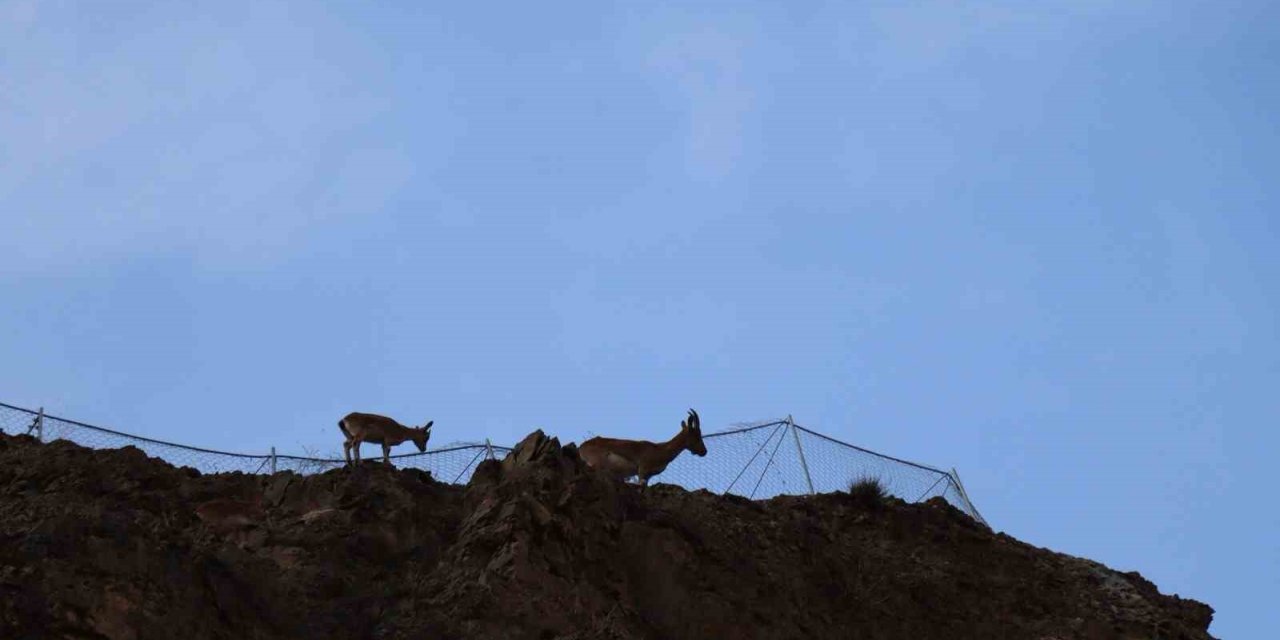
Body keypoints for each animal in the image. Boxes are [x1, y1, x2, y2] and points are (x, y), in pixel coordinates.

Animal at [581, 407, 711, 486]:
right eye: (697, 435)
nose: (704, 451)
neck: (660, 450)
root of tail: (581, 448)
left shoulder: (648, 476)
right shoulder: (642, 470)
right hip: (596, 462)